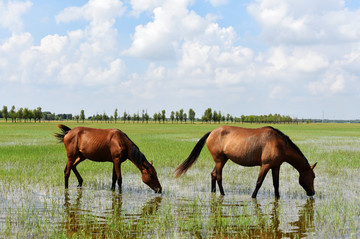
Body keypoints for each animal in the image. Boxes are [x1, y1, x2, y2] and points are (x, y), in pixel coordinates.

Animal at [176, 126, 316, 199]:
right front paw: (253, 196)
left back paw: (213, 192)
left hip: (222, 159)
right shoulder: (265, 165)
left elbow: (276, 184)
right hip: (220, 160)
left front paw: (277, 197)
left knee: (213, 174)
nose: (312, 193)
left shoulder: (276, 166)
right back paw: (223, 194)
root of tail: (212, 132)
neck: (279, 144)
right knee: (219, 177)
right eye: (313, 176)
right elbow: (259, 182)